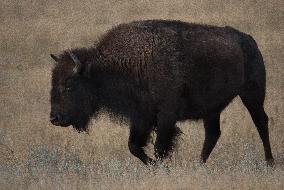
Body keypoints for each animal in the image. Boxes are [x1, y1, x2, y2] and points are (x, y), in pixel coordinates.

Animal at [50, 18, 274, 165]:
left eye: (69, 85)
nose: (55, 118)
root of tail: (249, 40)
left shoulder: (166, 115)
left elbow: (159, 147)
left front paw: (161, 166)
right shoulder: (141, 117)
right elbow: (133, 146)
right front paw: (155, 166)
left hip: (252, 94)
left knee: (261, 122)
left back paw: (269, 162)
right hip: (212, 109)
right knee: (213, 133)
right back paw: (199, 165)